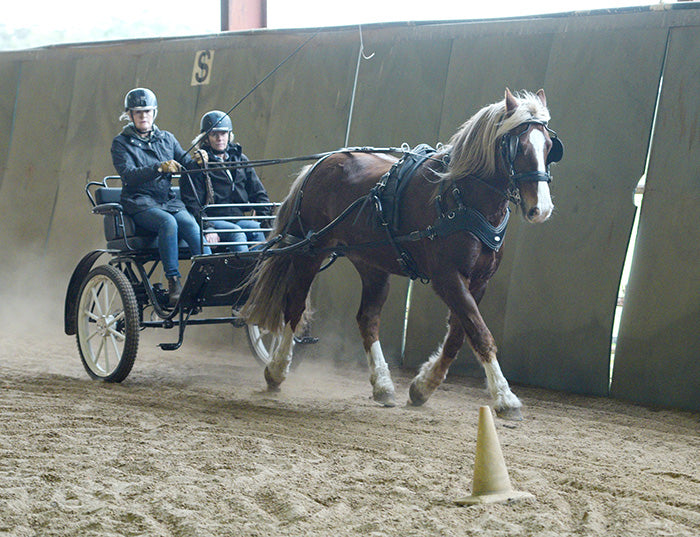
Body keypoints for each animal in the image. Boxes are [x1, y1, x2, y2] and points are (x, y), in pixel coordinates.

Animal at [243, 89, 560, 418]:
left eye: (549, 147)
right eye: (519, 147)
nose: (541, 209)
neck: (460, 197)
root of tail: (319, 165)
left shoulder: (479, 281)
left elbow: (460, 334)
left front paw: (423, 386)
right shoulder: (447, 277)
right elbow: (479, 332)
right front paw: (505, 397)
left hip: (371, 264)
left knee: (367, 318)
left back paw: (383, 385)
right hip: (310, 251)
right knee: (294, 307)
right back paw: (277, 370)